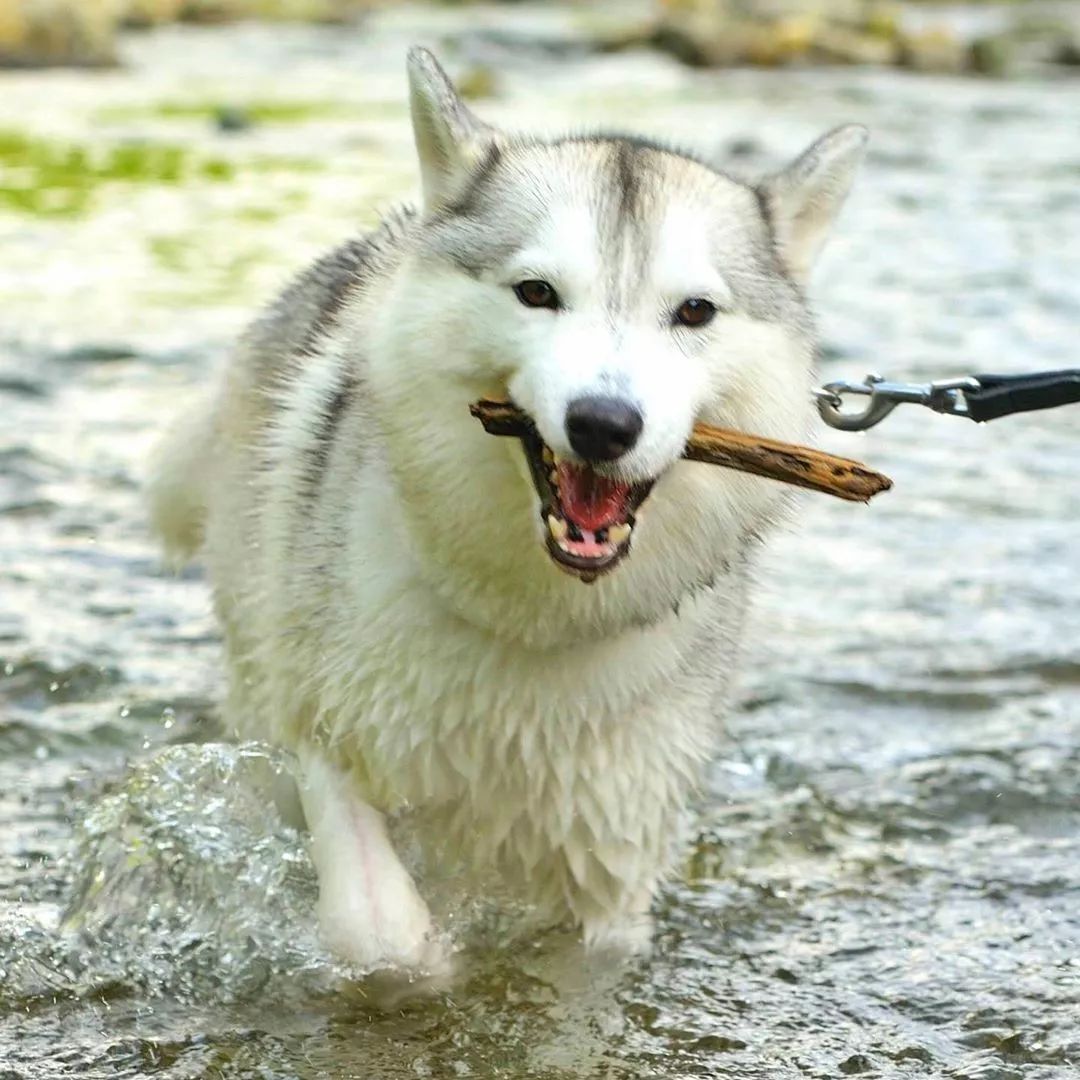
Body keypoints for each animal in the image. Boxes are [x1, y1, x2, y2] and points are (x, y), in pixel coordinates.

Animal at [145, 46, 868, 976]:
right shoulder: (321, 730)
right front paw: (424, 960)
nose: (603, 423)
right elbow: (379, 931)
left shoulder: (611, 875)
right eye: (536, 293)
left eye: (694, 311)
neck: (535, 623)